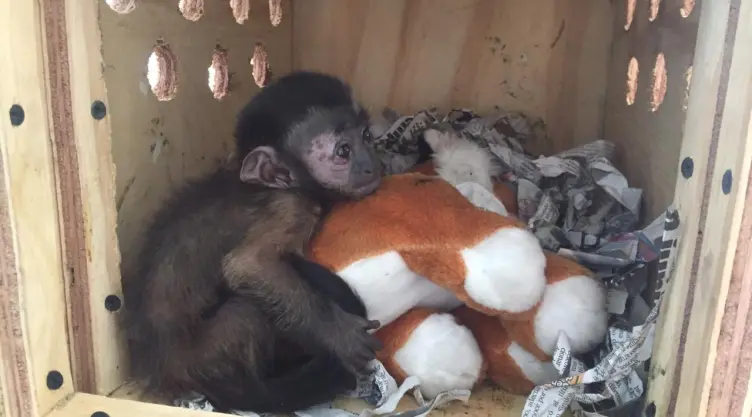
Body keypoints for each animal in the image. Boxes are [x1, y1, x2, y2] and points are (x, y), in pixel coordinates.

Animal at [121, 71, 383, 413]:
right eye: (343, 151)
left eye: (366, 135)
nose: (371, 165)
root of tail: (160, 365)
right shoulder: (289, 207)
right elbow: (249, 266)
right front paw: (339, 334)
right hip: (206, 355)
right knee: (246, 313)